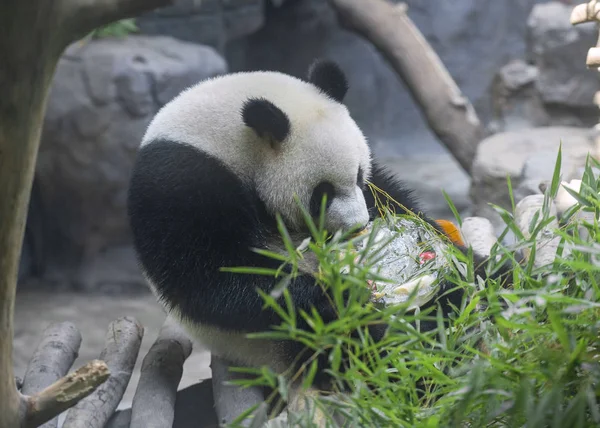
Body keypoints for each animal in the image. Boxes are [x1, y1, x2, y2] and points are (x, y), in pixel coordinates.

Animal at [127, 59, 506, 394]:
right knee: (366, 346)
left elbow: (395, 198)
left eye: (359, 175)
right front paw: (343, 293)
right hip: (286, 347)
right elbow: (216, 280)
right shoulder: (181, 185)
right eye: (322, 194)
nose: (357, 227)